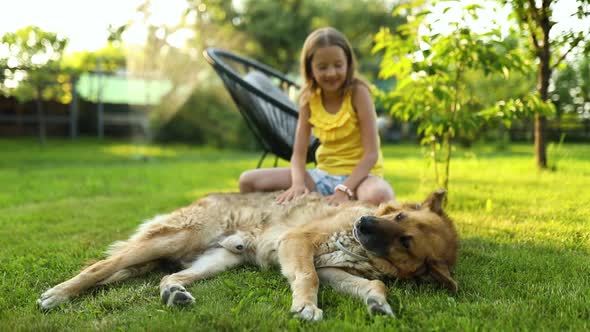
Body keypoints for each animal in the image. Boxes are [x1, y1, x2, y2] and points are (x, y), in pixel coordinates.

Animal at [38, 188, 462, 320]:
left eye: (406, 241)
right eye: (400, 215)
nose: (364, 223)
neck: (359, 248)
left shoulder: (333, 270)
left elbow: (374, 284)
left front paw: (377, 303)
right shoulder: (299, 245)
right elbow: (306, 276)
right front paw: (306, 307)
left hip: (218, 261)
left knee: (168, 276)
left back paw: (174, 293)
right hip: (174, 238)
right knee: (102, 266)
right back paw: (57, 294)